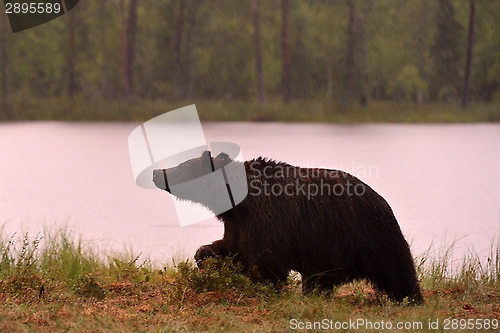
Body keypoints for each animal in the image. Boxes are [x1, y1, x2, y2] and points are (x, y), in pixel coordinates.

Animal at [152, 151, 422, 304]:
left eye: (182, 166)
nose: (157, 172)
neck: (239, 202)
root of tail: (383, 201)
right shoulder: (238, 223)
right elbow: (233, 248)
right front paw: (204, 255)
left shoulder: (267, 216)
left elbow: (265, 258)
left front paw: (265, 287)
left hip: (364, 235)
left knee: (397, 270)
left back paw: (412, 298)